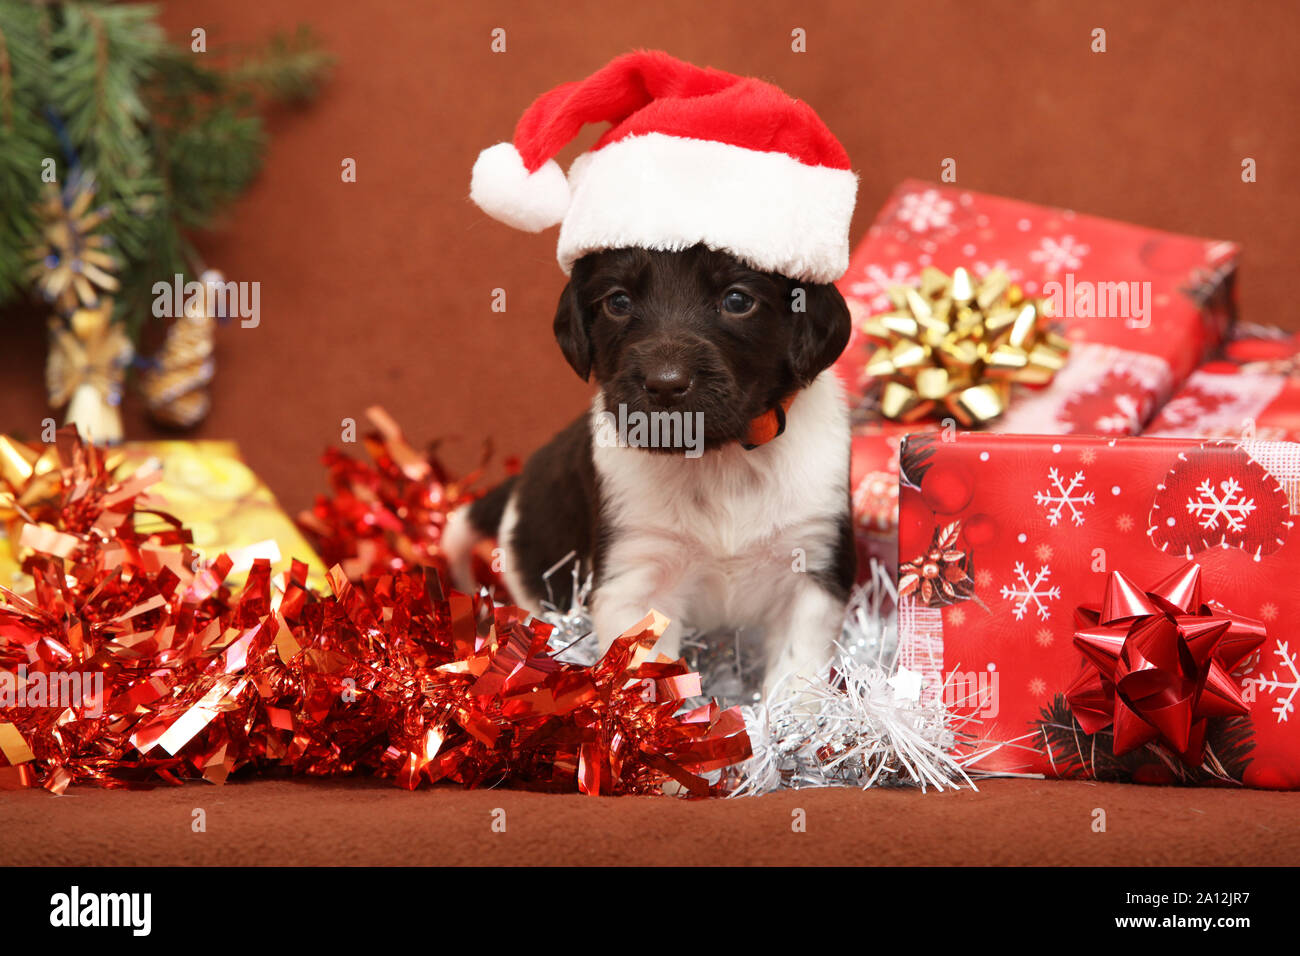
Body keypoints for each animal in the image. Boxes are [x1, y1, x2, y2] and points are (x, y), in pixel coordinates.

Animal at [447, 243, 852, 697]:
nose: (665, 384)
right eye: (618, 302)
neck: (721, 459)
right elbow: (648, 679)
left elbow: (796, 682)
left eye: (737, 300)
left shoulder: (810, 575)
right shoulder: (635, 579)